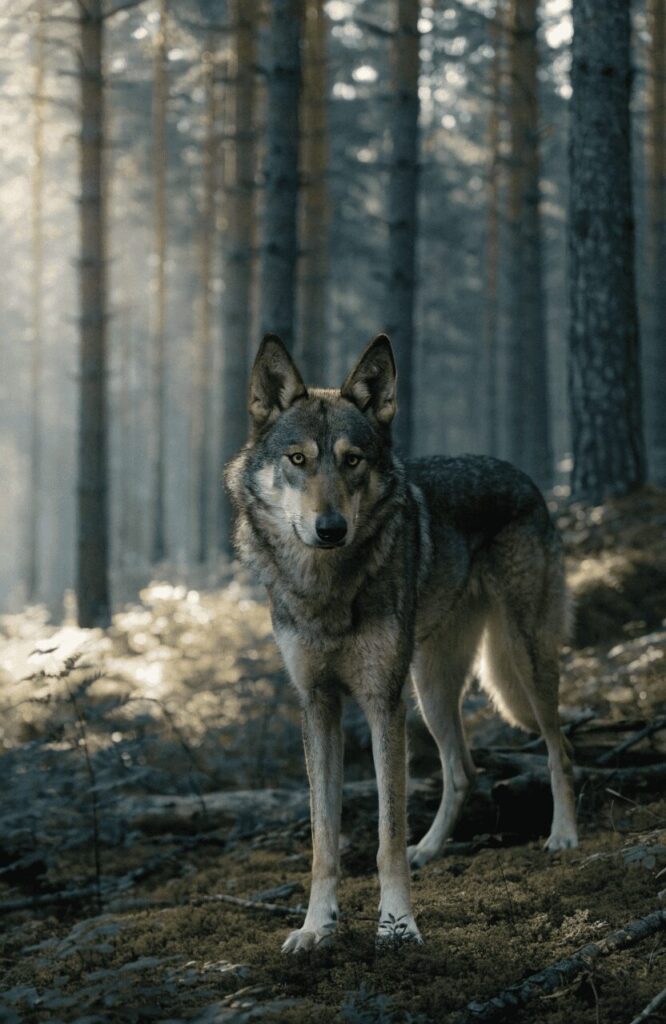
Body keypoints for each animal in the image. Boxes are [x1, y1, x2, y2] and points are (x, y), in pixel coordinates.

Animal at [225, 333, 578, 953]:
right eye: (298, 460)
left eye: (352, 460)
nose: (331, 528)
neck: (327, 586)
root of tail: (522, 475)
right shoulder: (318, 704)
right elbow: (323, 841)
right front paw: (315, 928)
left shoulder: (380, 703)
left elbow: (386, 838)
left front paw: (396, 925)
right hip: (430, 688)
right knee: (463, 770)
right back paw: (431, 850)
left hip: (522, 661)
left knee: (560, 749)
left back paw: (562, 836)